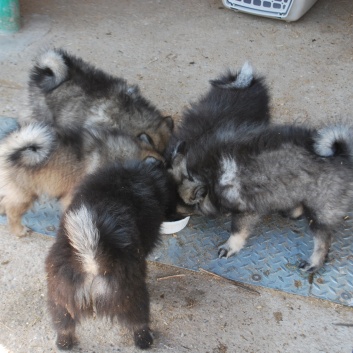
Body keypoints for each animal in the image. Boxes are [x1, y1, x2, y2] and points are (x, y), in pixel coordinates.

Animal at [175, 121, 352, 272]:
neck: (211, 175)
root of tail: (342, 157)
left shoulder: (247, 209)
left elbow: (237, 230)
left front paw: (229, 247)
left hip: (321, 209)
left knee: (323, 240)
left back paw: (313, 263)